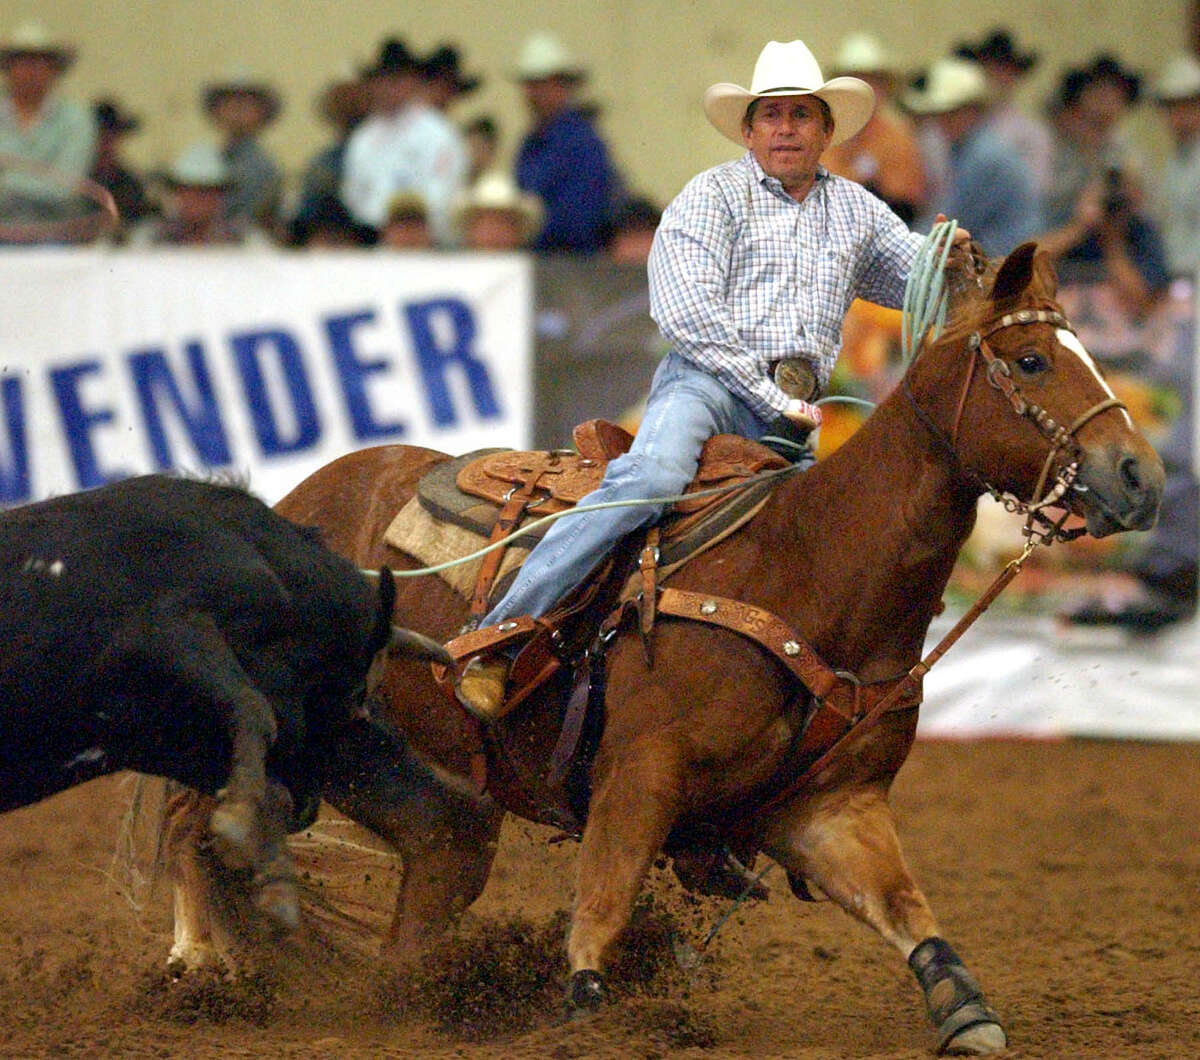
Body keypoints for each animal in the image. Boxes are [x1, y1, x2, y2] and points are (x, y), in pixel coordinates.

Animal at [164, 244, 1156, 1056]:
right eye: (1031, 361)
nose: (1139, 477)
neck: (809, 568)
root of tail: (295, 499)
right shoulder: (639, 773)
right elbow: (603, 901)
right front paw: (585, 1011)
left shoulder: (832, 806)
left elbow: (910, 913)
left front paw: (966, 1012)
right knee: (193, 822)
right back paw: (197, 969)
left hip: (418, 784)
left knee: (433, 863)